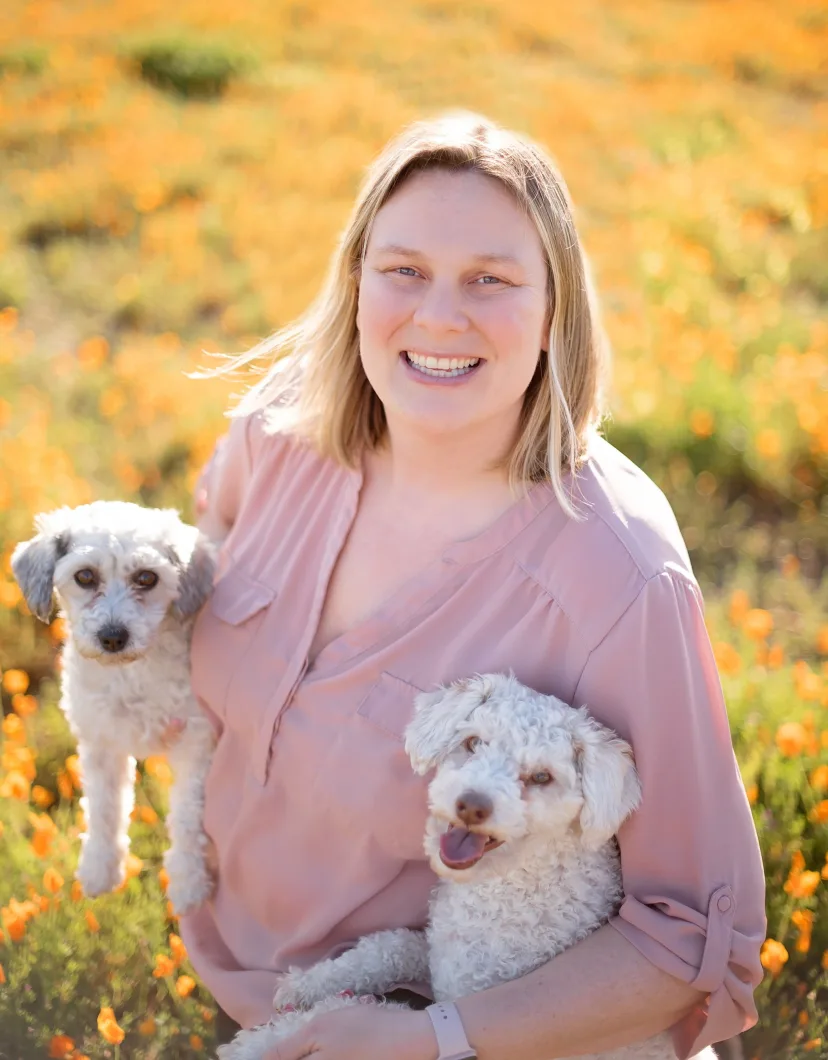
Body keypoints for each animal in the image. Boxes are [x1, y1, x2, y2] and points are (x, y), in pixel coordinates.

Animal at [12, 500, 216, 915]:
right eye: (85, 576)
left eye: (147, 578)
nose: (112, 637)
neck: (129, 674)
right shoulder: (101, 744)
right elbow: (105, 810)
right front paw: (99, 869)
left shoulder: (195, 743)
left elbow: (187, 817)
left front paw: (189, 882)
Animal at [222, 678, 712, 1060]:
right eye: (473, 742)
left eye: (541, 778)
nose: (472, 804)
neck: (511, 885)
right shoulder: (442, 955)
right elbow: (390, 945)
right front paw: (307, 983)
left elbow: (358, 1011)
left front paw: (259, 1044)